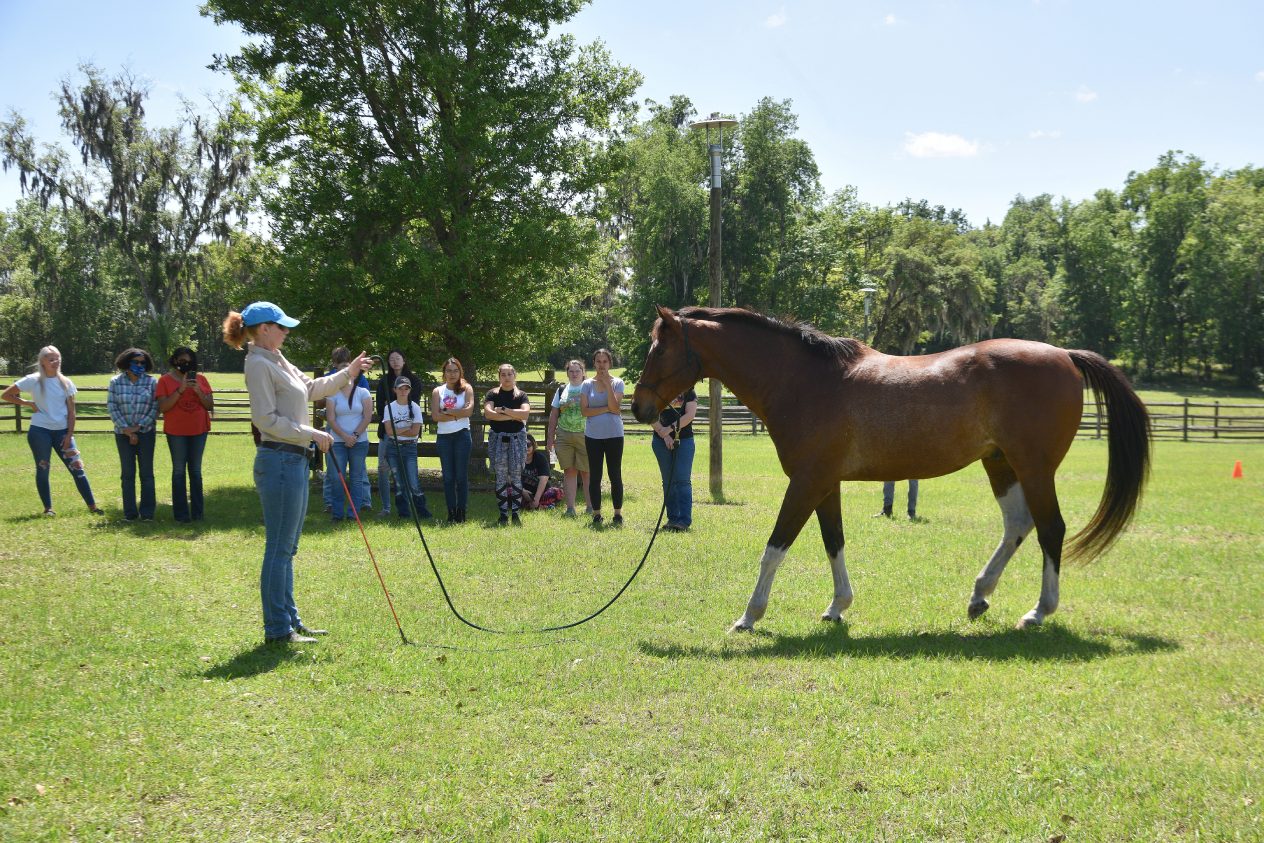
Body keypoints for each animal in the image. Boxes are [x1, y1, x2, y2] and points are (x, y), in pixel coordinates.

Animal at [632, 307, 1157, 629]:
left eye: (658, 349)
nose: (639, 407)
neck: (806, 380)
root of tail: (1064, 354)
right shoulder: (825, 484)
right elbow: (833, 542)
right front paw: (837, 606)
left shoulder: (806, 482)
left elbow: (775, 548)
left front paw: (749, 616)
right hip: (1001, 463)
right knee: (1018, 525)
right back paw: (980, 595)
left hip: (1033, 468)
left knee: (1051, 528)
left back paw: (1038, 611)